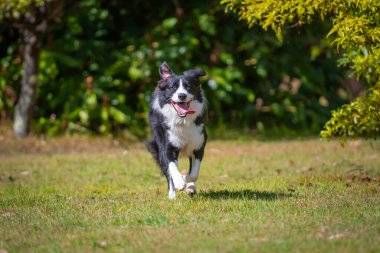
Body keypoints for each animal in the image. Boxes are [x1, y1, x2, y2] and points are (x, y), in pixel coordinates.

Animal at [145, 61, 208, 200]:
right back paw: (172, 194)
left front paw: (187, 180)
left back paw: (190, 187)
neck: (182, 121)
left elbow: (194, 172)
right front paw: (180, 182)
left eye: (188, 87)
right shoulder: (166, 146)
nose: (182, 95)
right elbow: (172, 167)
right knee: (168, 172)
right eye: (173, 88)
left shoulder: (198, 144)